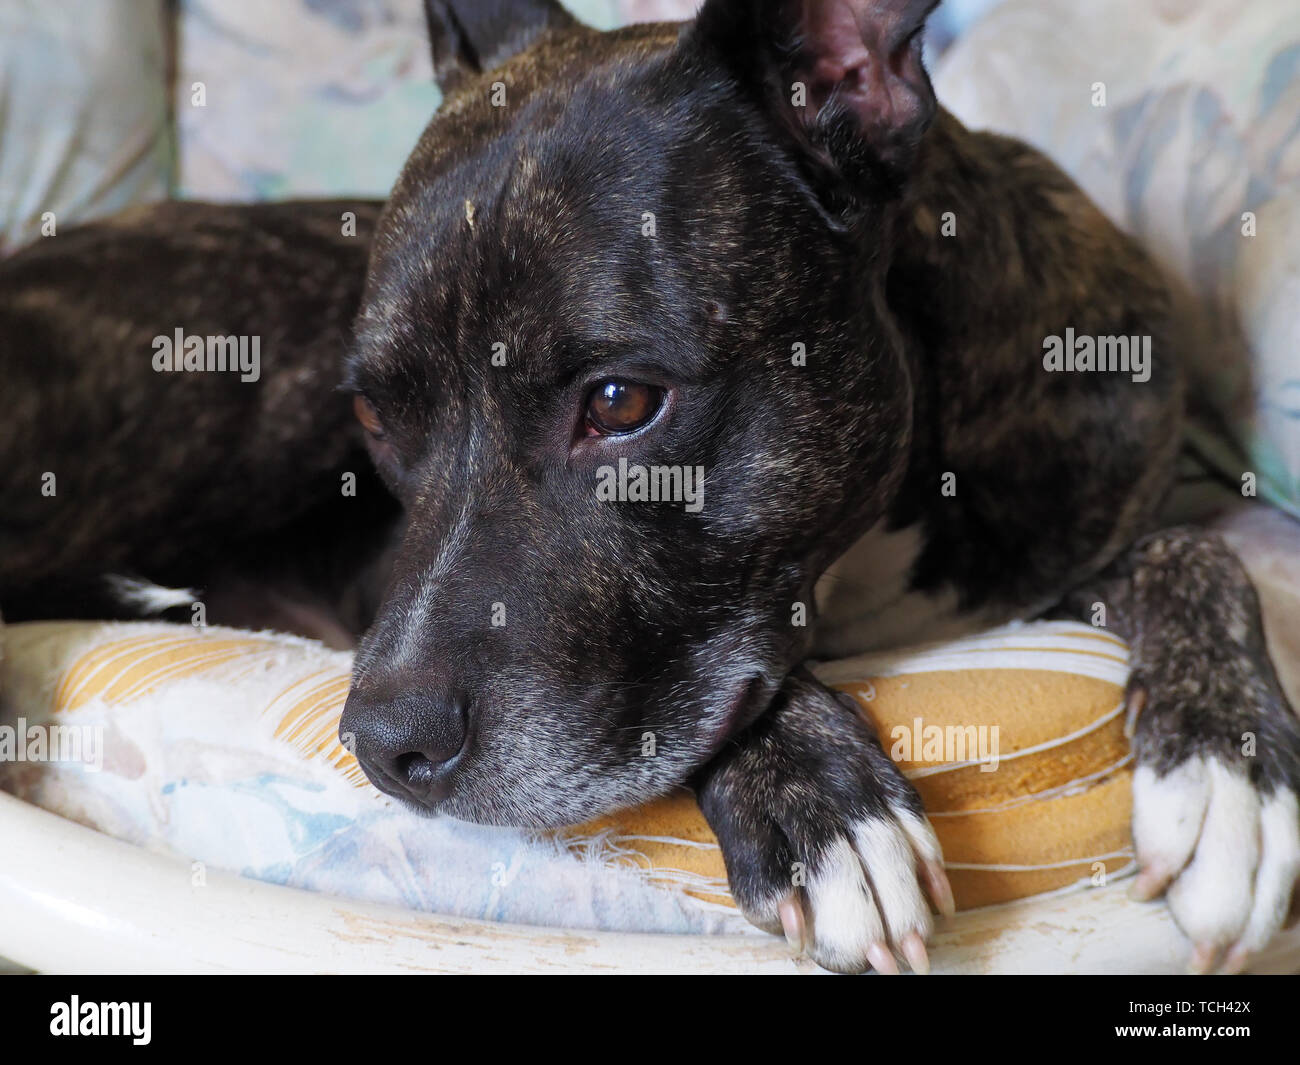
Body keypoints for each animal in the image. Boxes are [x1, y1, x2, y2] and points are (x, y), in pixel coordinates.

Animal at [0, 0, 1294, 972]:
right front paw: (818, 803)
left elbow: (1199, 554)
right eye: (375, 417)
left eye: (621, 404)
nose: (382, 747)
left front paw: (1220, 760)